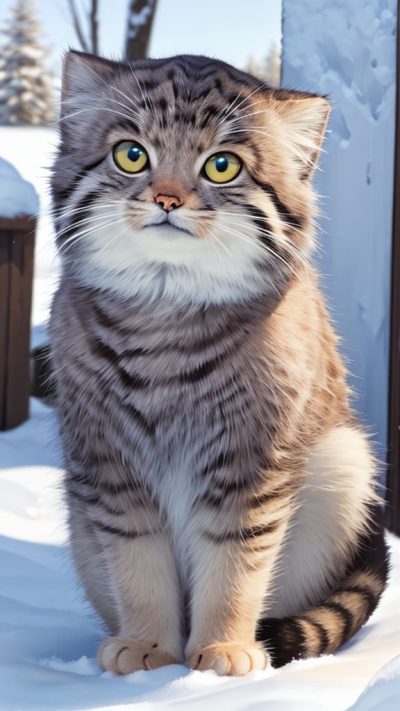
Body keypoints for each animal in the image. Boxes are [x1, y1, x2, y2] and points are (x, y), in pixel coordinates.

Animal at [49, 52, 388, 676]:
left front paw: (222, 653)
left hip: (344, 459)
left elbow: (236, 565)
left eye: (221, 166)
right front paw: (148, 648)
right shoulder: (109, 466)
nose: (166, 199)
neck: (165, 314)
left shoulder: (251, 460)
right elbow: (137, 566)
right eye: (132, 154)